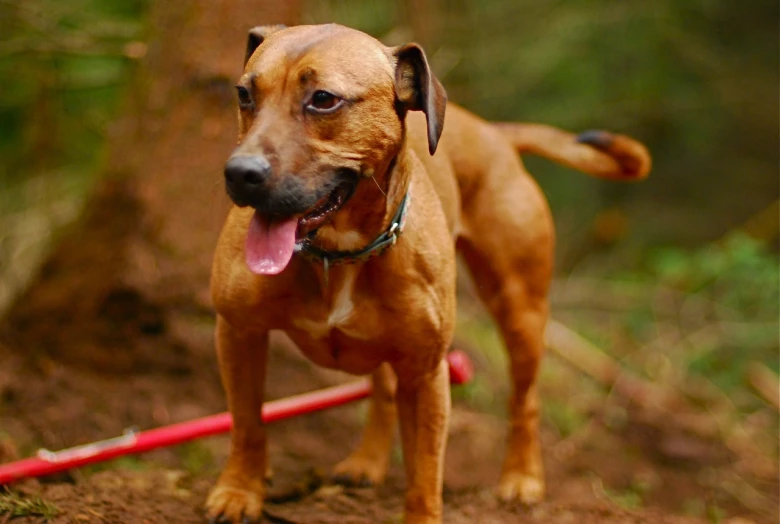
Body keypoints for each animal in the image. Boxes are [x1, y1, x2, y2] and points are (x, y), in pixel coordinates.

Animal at [204, 23, 648, 524]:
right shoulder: (238, 332)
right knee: (381, 389)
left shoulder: (426, 370)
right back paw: (367, 462)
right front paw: (239, 491)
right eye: (244, 94)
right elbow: (248, 423)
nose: (240, 173)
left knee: (525, 401)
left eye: (323, 99)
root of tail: (492, 132)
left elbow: (425, 467)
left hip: (521, 311)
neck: (338, 254)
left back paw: (521, 478)